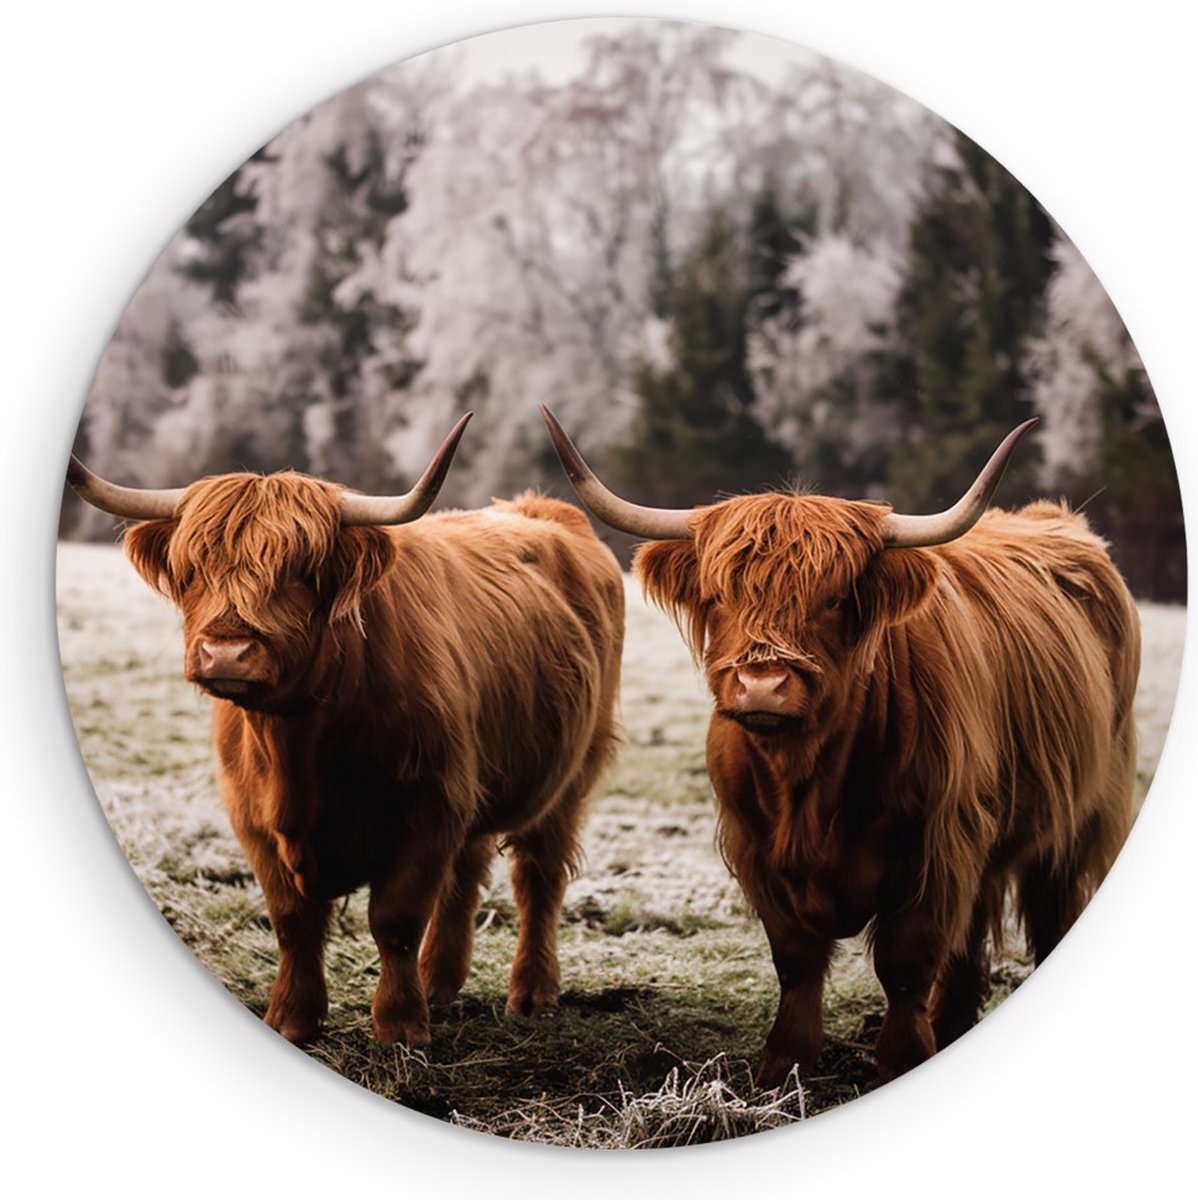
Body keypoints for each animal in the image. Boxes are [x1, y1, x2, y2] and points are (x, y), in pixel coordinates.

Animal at [67, 415, 625, 1051]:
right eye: (191, 571)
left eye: (300, 574)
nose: (226, 652)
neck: (301, 750)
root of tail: (542, 509)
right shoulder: (253, 818)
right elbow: (293, 922)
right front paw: (292, 1018)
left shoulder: (428, 807)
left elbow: (395, 919)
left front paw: (401, 1027)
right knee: (468, 868)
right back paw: (440, 981)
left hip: (572, 771)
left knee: (538, 876)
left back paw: (531, 993)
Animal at [541, 405, 1138, 1087]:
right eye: (719, 597)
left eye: (831, 600)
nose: (763, 684)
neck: (809, 782)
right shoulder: (758, 849)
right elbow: (797, 960)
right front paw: (782, 1068)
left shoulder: (935, 847)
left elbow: (905, 964)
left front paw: (902, 1061)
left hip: (1077, 818)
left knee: (1050, 911)